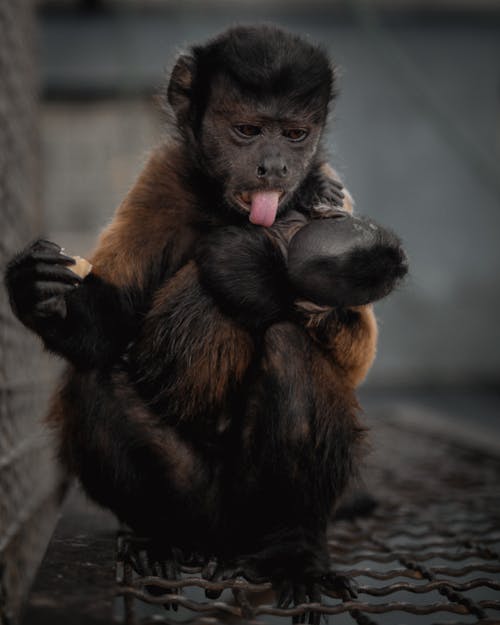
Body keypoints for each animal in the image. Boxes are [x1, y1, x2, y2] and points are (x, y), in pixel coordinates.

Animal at [3, 25, 406, 608]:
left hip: (251, 503)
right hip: (197, 496)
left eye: (295, 135)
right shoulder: (161, 180)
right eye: (247, 131)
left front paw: (260, 271)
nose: (275, 167)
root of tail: (226, 535)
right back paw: (163, 537)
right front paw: (38, 292)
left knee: (290, 345)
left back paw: (294, 549)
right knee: (94, 382)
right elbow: (107, 327)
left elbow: (354, 354)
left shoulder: (330, 195)